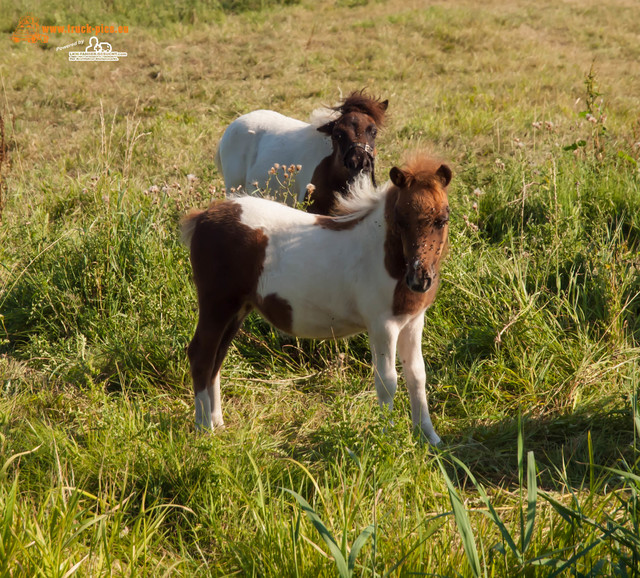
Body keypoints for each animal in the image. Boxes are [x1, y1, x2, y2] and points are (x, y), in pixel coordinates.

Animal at [180, 152, 450, 440]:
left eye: (442, 219)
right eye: (400, 219)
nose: (419, 280)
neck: (383, 254)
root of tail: (203, 217)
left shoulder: (412, 321)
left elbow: (417, 376)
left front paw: (429, 437)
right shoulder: (382, 325)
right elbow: (387, 381)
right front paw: (385, 438)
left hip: (237, 309)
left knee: (217, 359)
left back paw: (218, 422)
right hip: (217, 304)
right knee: (201, 356)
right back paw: (204, 429)